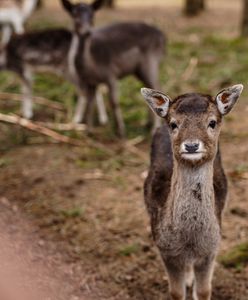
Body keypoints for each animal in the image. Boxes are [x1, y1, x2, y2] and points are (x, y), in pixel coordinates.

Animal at [61, 0, 166, 137]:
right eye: (74, 14)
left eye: (92, 15)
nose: (87, 31)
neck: (91, 67)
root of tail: (163, 37)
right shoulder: (89, 83)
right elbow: (90, 103)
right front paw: (89, 132)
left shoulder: (111, 74)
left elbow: (114, 102)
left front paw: (121, 132)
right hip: (139, 70)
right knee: (150, 88)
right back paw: (147, 124)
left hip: (150, 62)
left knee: (157, 86)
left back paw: (154, 129)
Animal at [140, 84, 243, 300]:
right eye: (173, 124)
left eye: (212, 122)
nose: (191, 145)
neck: (190, 242)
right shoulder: (165, 249)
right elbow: (176, 292)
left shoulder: (211, 249)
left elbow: (204, 291)